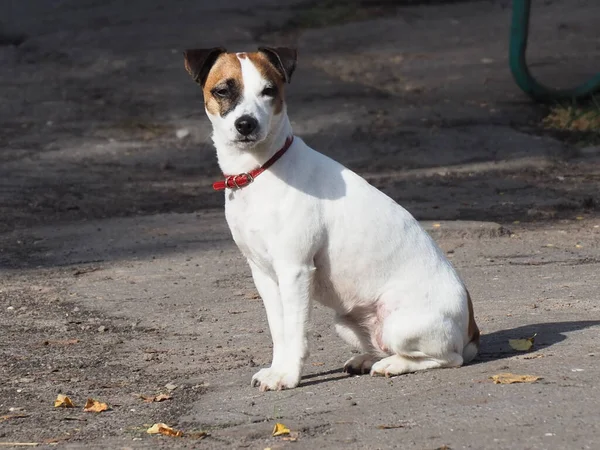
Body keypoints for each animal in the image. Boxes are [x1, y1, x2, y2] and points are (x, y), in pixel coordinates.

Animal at [185, 46, 480, 390]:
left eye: (269, 91)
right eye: (223, 91)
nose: (246, 124)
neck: (260, 170)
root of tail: (471, 329)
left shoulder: (296, 271)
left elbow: (295, 332)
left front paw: (288, 375)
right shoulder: (264, 274)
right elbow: (279, 331)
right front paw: (277, 369)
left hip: (402, 325)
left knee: (447, 358)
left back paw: (392, 365)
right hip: (346, 322)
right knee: (386, 347)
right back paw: (369, 359)